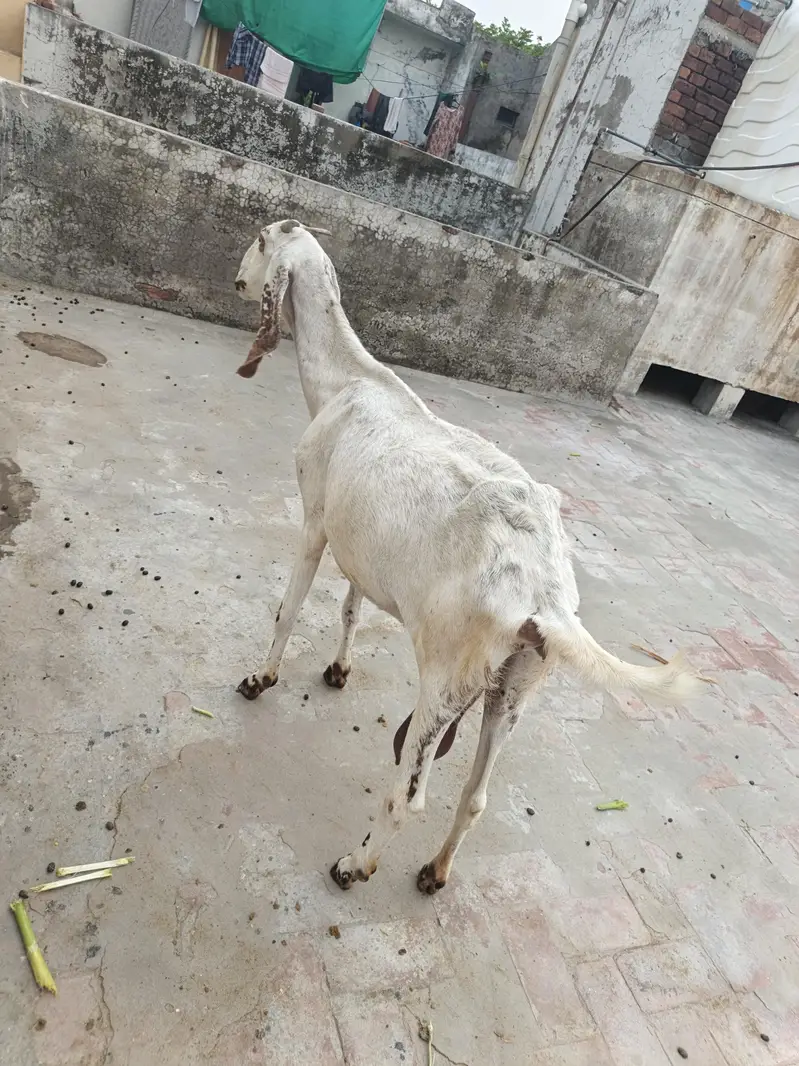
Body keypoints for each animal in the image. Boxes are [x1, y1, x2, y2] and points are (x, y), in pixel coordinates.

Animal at [232, 219, 702, 894]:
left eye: (261, 239)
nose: (235, 279)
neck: (347, 383)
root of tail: (545, 596)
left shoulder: (317, 519)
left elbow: (289, 608)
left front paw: (260, 678)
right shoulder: (362, 543)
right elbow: (351, 606)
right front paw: (338, 668)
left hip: (445, 680)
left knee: (408, 795)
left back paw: (356, 864)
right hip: (514, 690)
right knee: (476, 797)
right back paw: (435, 870)